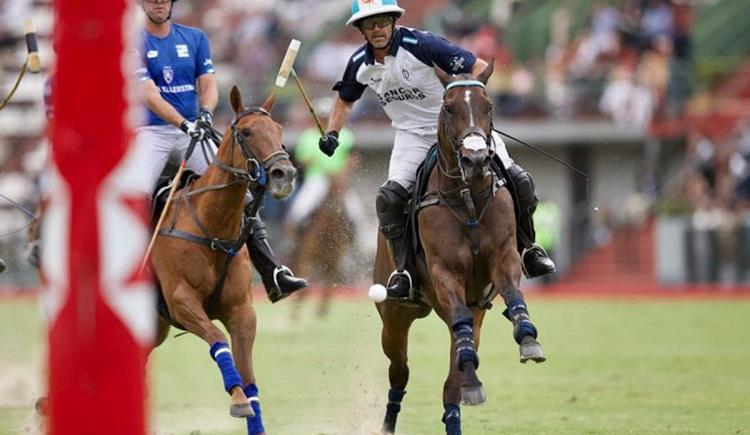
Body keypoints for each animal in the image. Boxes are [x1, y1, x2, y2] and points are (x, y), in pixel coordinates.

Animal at [151, 86, 296, 435]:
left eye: (278, 130)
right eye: (246, 132)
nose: (284, 175)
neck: (212, 226)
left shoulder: (241, 309)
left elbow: (249, 374)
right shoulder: (182, 301)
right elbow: (218, 340)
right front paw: (238, 400)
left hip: (155, 326)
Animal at [374, 65, 548, 435]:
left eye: (489, 105)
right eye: (449, 107)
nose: (477, 159)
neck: (468, 198)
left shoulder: (503, 258)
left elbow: (513, 294)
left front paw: (528, 340)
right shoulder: (445, 272)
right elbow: (456, 317)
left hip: (475, 309)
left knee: (453, 375)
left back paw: (468, 386)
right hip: (395, 316)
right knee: (400, 370)